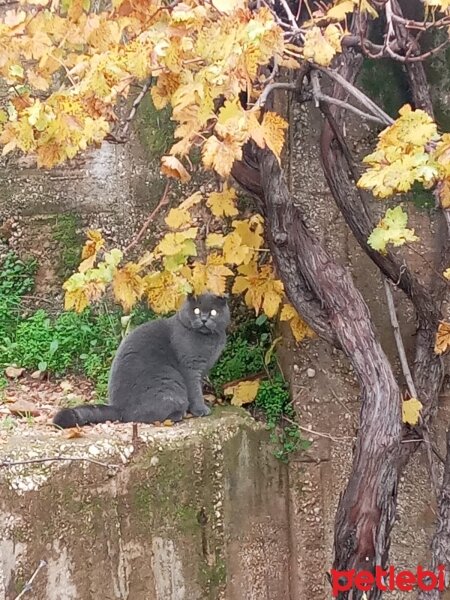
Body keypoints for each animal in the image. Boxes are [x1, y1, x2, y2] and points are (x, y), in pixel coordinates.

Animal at [52, 290, 229, 426]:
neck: (210, 341)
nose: (204, 319)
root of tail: (118, 408)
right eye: (196, 310)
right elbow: (195, 391)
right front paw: (201, 410)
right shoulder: (191, 368)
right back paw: (178, 414)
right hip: (169, 382)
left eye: (213, 312)